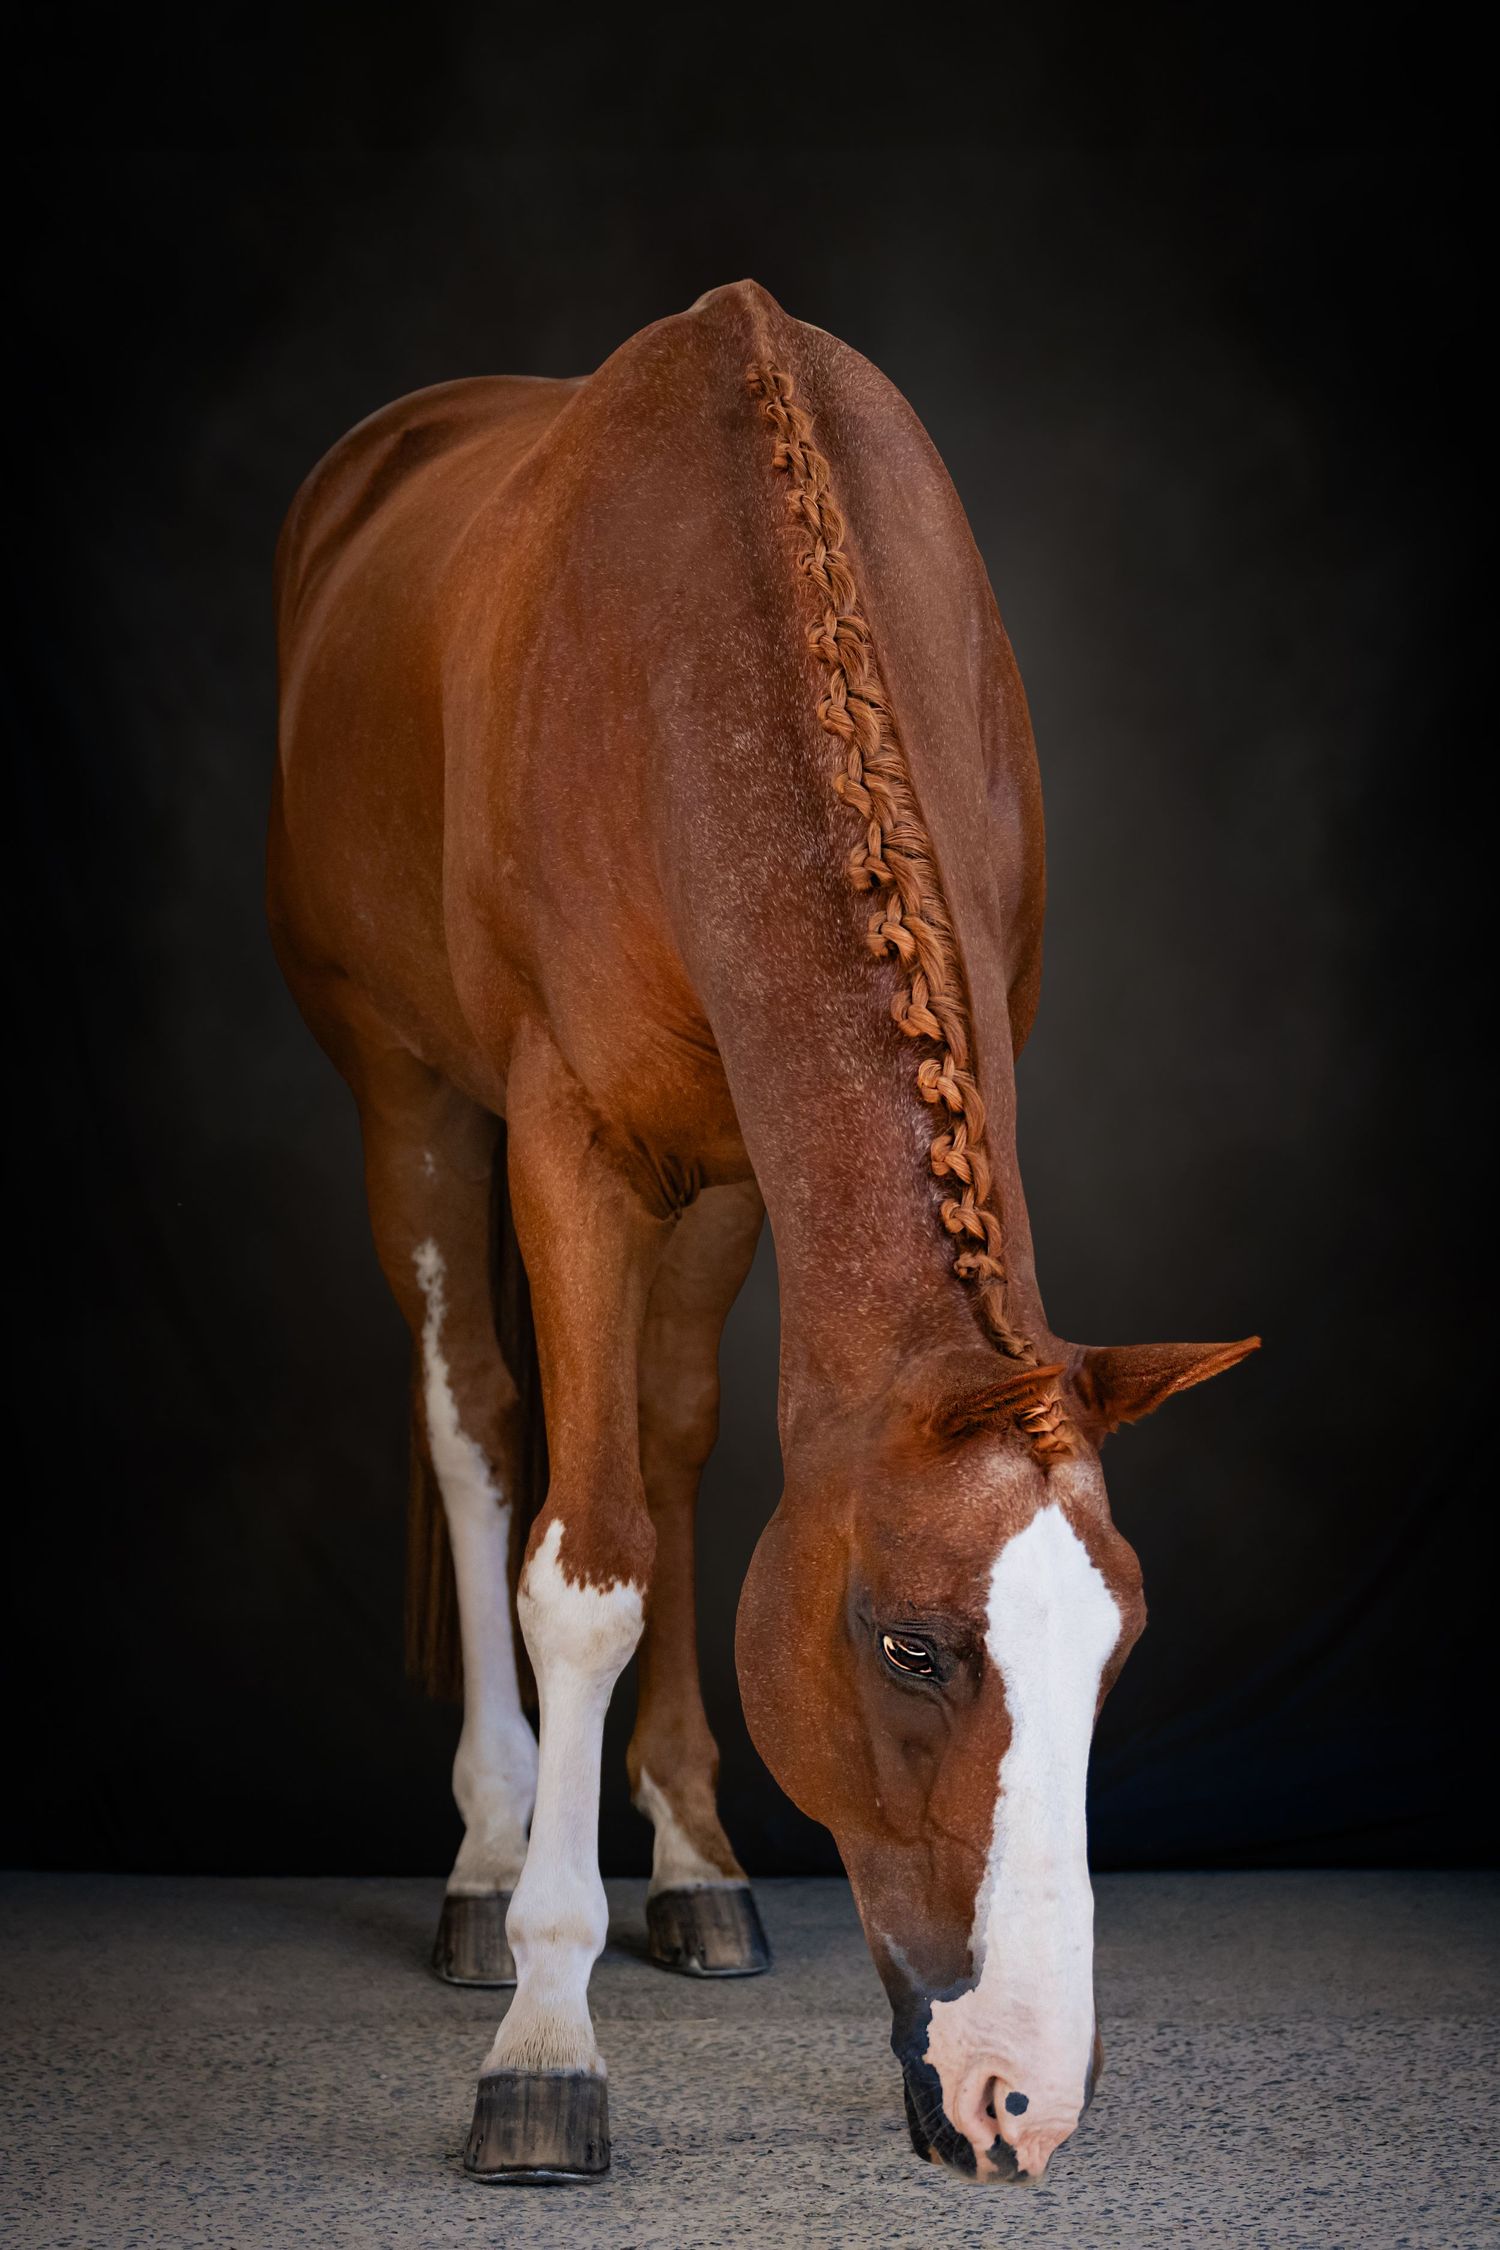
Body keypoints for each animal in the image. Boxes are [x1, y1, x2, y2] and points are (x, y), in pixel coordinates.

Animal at [268, 278, 1257, 2188]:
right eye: (910, 1646)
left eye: (1117, 1648)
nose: (1022, 2096)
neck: (705, 652)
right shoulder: (571, 1145)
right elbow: (582, 1568)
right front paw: (546, 2033)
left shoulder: (732, 1166)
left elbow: (674, 1475)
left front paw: (690, 1861)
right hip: (404, 1096)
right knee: (478, 1422)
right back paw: (490, 1860)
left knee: (654, 1437)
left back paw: (693, 1871)